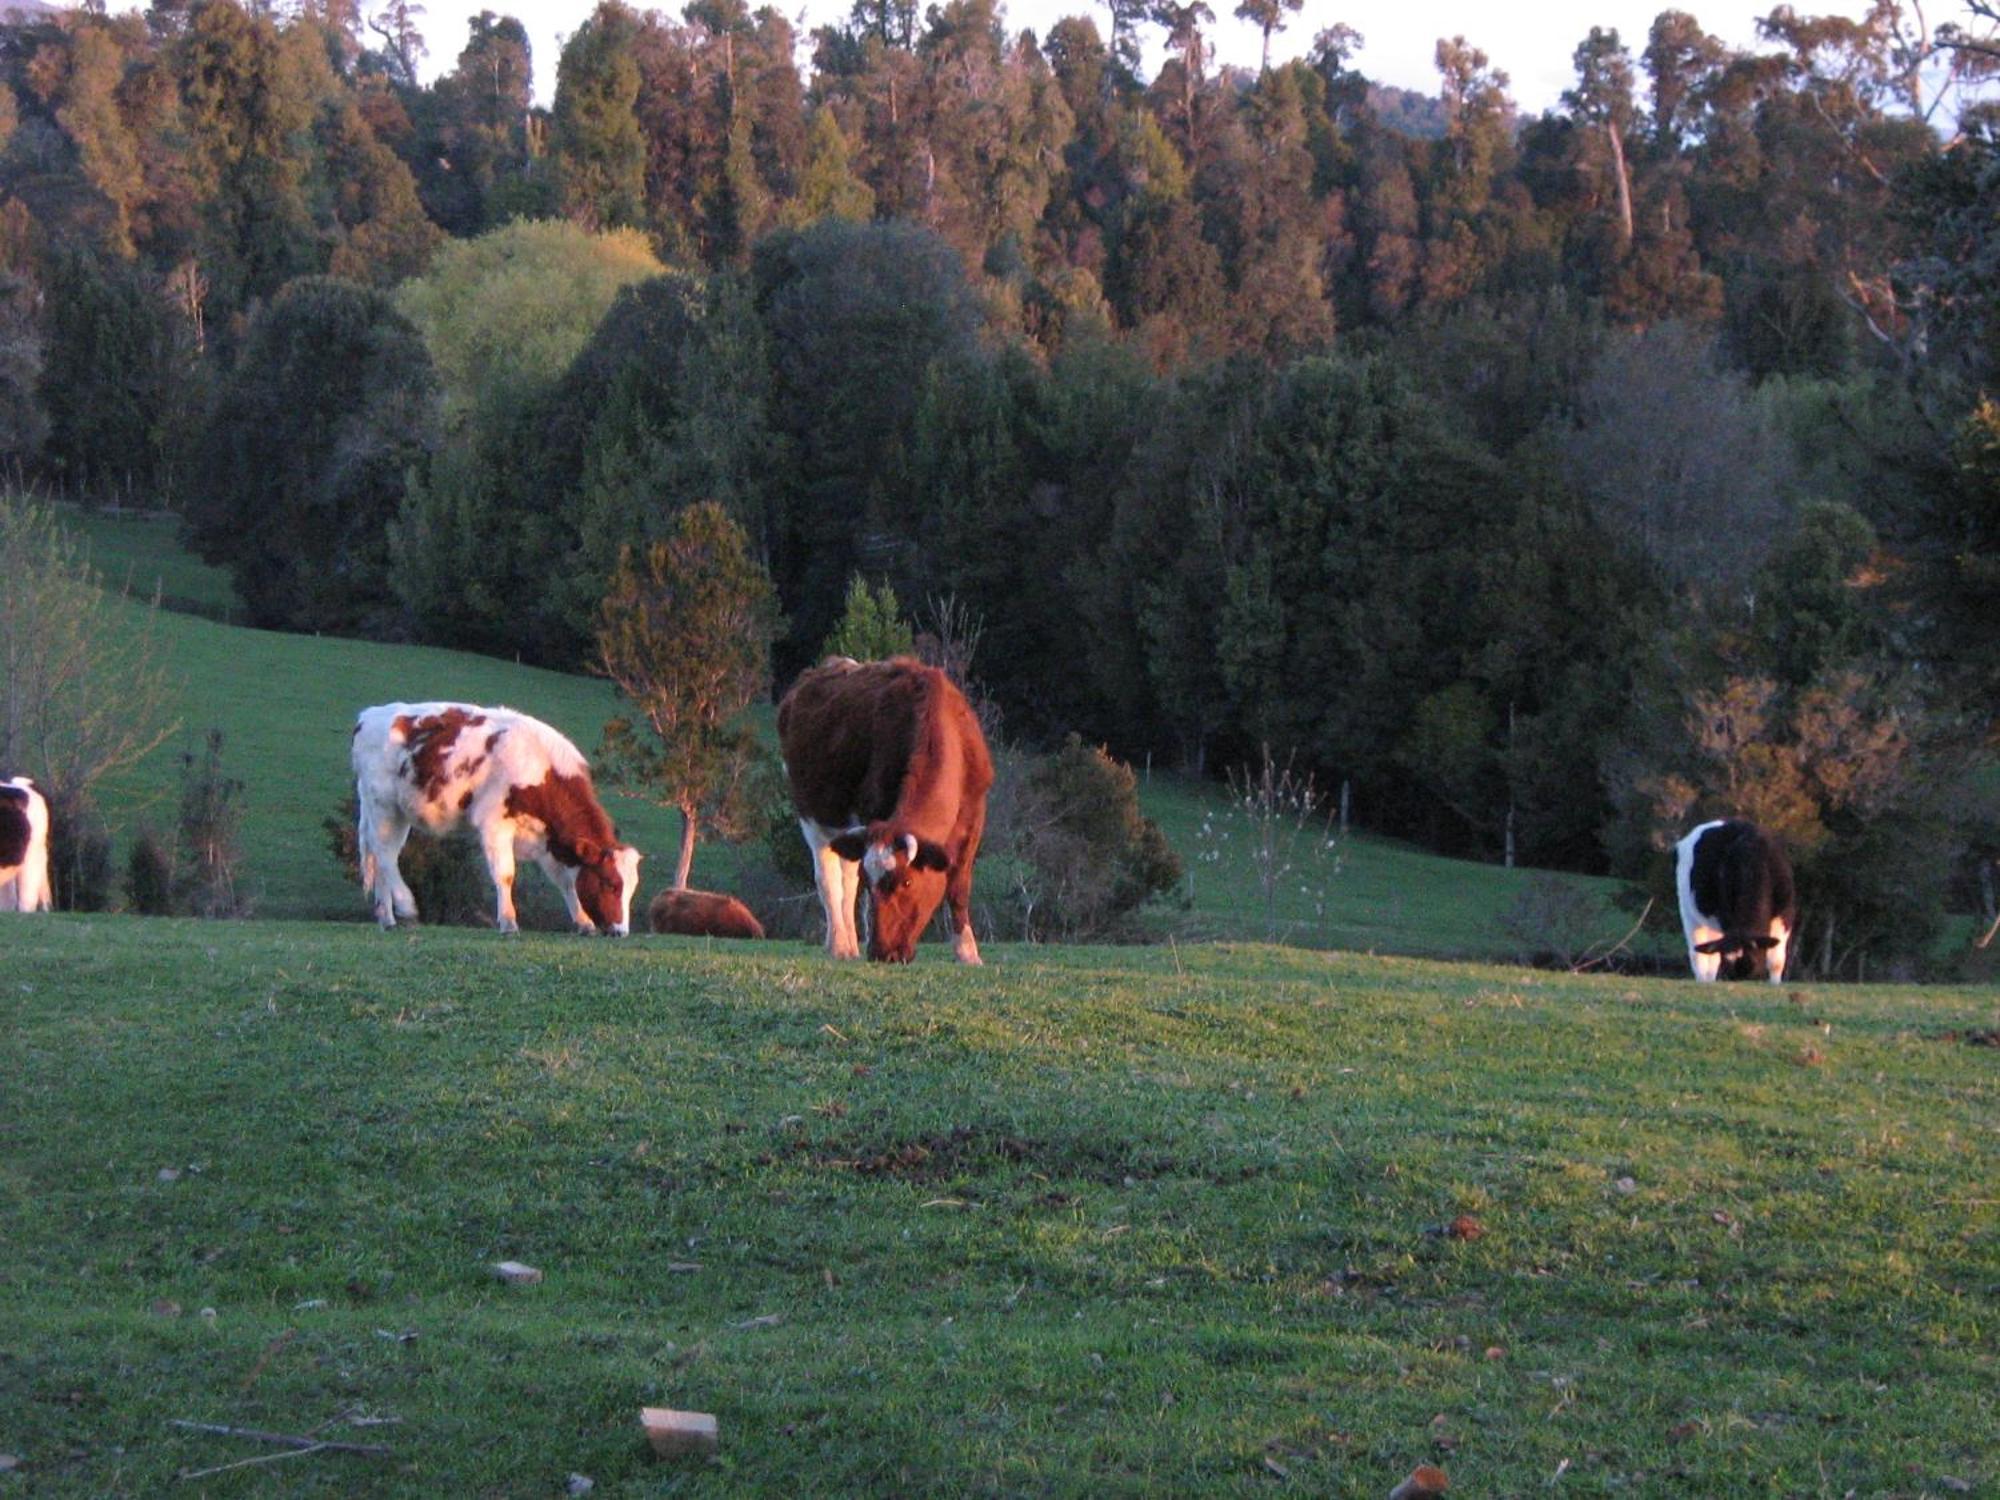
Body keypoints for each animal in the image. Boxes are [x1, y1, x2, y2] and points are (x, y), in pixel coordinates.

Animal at [352, 708, 640, 940]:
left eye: (631, 888)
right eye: (610, 884)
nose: (620, 932)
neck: (540, 766)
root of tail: (369, 715)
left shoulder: (549, 840)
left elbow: (566, 882)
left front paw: (583, 922)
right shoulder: (495, 824)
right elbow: (505, 874)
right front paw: (509, 922)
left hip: (397, 813)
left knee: (382, 856)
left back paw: (387, 918)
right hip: (383, 805)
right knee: (385, 855)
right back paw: (405, 905)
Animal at [784, 660, 996, 968]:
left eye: (907, 881)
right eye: (873, 886)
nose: (883, 953)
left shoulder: (974, 818)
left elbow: (959, 887)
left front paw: (967, 952)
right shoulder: (873, 813)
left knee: (848, 881)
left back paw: (850, 945)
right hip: (812, 817)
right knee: (829, 880)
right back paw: (839, 944)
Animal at [1672, 824, 1800, 988]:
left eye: (1752, 952)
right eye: (1728, 959)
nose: (1739, 974)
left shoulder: (1786, 913)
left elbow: (1776, 961)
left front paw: (1775, 984)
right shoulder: (1724, 915)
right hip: (1689, 912)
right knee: (1700, 956)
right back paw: (1704, 981)